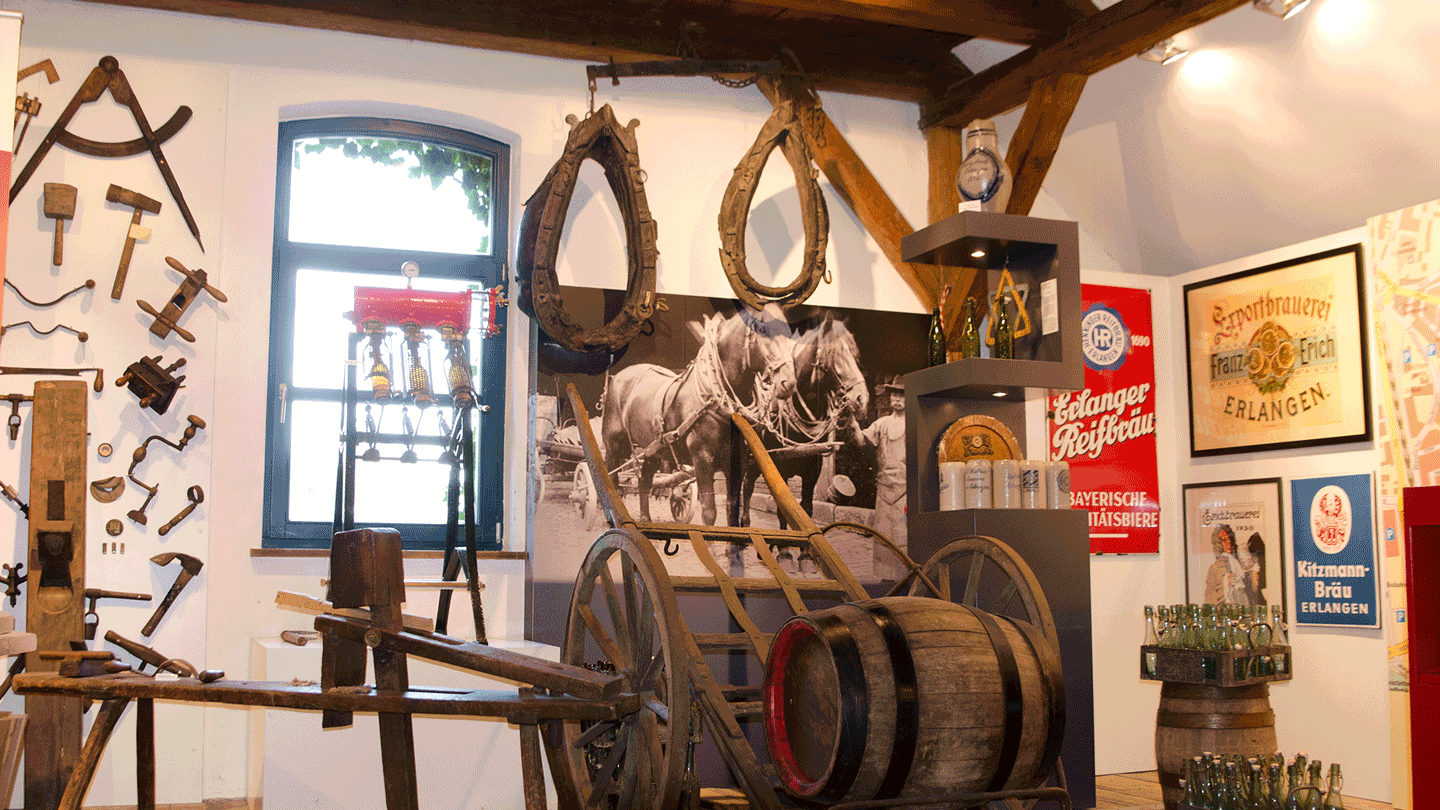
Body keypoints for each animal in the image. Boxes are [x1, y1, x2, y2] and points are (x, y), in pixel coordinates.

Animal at [599, 302, 800, 524]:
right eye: (763, 331)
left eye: (790, 334)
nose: (788, 382)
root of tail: (617, 378)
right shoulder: (702, 459)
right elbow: (709, 511)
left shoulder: (736, 462)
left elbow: (732, 507)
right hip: (614, 446)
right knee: (613, 481)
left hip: (652, 449)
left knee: (644, 481)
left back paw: (645, 519)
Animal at [731, 309, 864, 530]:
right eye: (833, 353)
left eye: (855, 354)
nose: (862, 398)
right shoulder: (780, 467)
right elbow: (782, 513)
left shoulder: (812, 472)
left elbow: (806, 509)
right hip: (751, 460)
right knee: (747, 487)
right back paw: (745, 522)